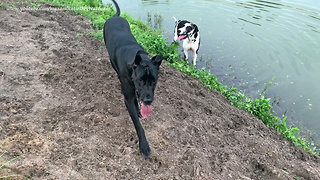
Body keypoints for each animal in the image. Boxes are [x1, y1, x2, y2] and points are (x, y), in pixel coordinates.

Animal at [102, 0, 162, 156]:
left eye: (154, 81)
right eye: (141, 80)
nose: (148, 100)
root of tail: (115, 16)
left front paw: (140, 110)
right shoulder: (128, 96)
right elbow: (138, 124)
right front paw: (144, 145)